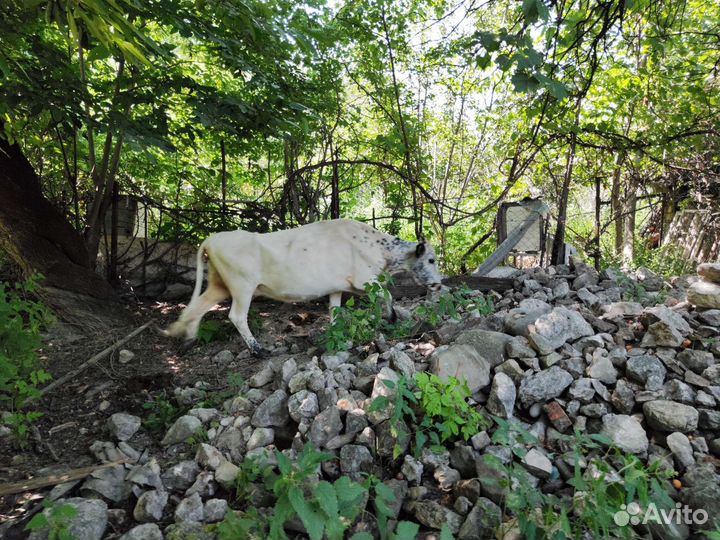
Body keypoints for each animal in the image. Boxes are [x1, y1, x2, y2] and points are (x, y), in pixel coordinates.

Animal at [162, 218, 444, 355]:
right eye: (431, 259)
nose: (439, 285)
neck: (380, 248)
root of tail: (213, 238)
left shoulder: (337, 287)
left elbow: (334, 311)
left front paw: (335, 334)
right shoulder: (366, 280)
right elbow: (386, 293)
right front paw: (392, 317)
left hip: (218, 285)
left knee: (195, 308)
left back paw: (185, 336)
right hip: (242, 286)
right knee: (236, 316)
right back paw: (258, 350)